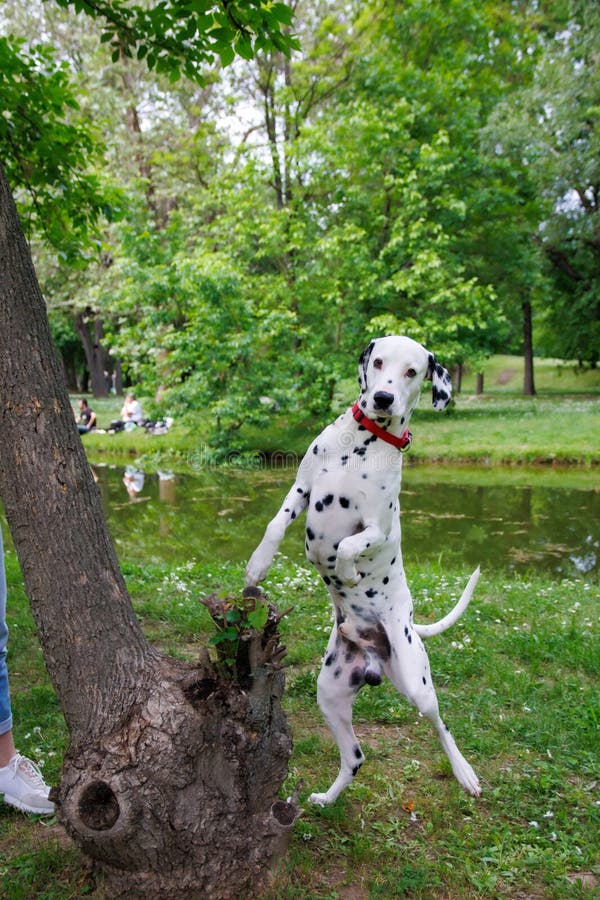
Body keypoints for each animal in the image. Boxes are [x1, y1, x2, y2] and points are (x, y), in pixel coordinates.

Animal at [246, 334, 480, 804]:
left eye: (412, 371)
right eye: (378, 362)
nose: (384, 397)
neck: (362, 446)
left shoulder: (379, 528)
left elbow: (350, 544)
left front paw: (349, 571)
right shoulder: (301, 489)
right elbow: (275, 524)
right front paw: (257, 566)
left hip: (417, 684)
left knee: (441, 724)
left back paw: (464, 771)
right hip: (330, 693)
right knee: (355, 758)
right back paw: (326, 799)